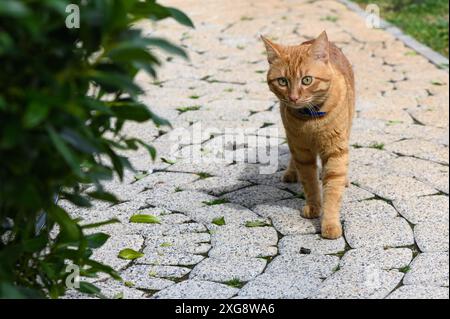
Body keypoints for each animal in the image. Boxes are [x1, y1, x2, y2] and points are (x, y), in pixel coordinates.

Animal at [260, 31, 356, 239]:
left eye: (306, 80)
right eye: (283, 81)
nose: (294, 97)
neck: (311, 119)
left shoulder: (335, 150)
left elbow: (332, 189)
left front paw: (330, 223)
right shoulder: (302, 151)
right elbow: (310, 183)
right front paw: (314, 207)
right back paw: (290, 172)